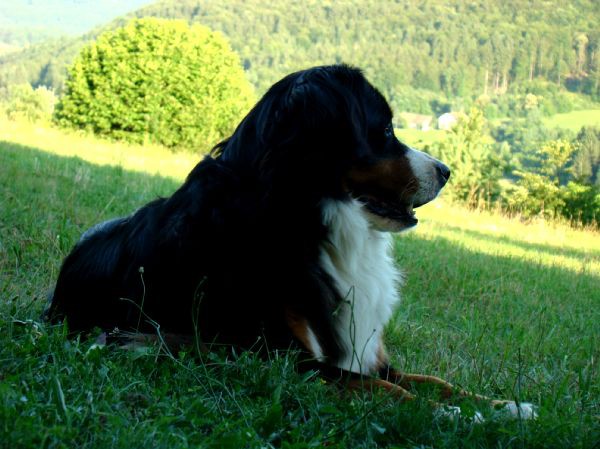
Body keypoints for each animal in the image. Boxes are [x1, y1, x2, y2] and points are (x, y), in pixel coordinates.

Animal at [45, 64, 536, 420]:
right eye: (384, 131)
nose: (446, 171)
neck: (306, 216)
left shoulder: (364, 349)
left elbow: (432, 380)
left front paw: (505, 405)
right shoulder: (284, 358)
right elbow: (386, 388)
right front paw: (451, 416)